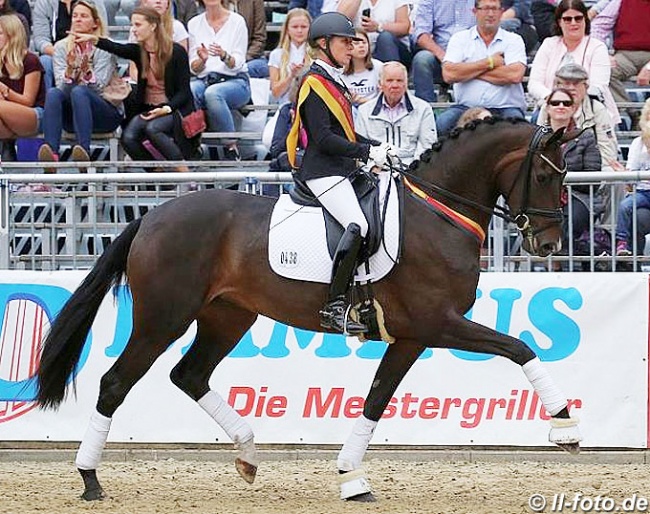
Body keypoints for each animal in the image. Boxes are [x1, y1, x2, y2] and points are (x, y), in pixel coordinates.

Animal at [35, 119, 584, 500]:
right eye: (542, 173)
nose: (550, 244)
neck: (436, 212)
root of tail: (151, 217)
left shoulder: (411, 336)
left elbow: (376, 400)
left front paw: (352, 478)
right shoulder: (439, 323)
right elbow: (519, 347)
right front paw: (565, 426)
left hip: (228, 316)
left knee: (189, 375)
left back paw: (248, 454)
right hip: (163, 318)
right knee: (116, 383)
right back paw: (89, 478)